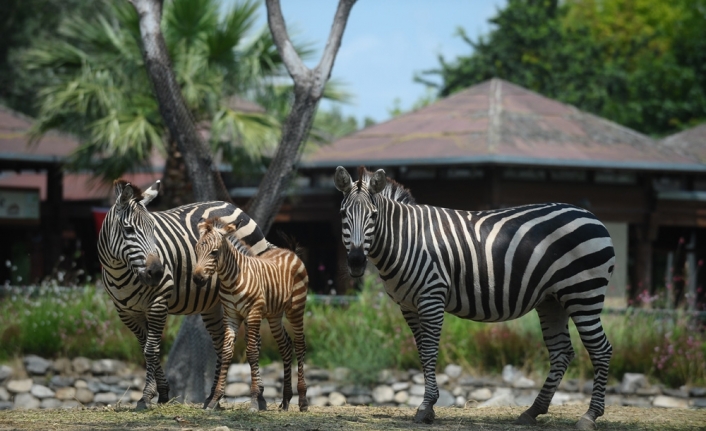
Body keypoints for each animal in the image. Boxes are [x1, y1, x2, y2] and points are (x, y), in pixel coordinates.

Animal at [99, 180, 272, 412]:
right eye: (128, 229)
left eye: (154, 229)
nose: (157, 272)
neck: (120, 270)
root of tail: (228, 204)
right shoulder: (126, 312)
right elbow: (145, 349)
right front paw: (163, 393)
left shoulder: (158, 302)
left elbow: (151, 350)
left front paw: (146, 397)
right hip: (213, 304)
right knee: (221, 343)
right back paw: (212, 398)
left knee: (255, 341)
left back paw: (259, 397)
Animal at [191, 218, 306, 414]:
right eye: (197, 249)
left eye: (214, 252)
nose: (197, 279)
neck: (232, 280)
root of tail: (289, 251)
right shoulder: (231, 315)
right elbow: (226, 352)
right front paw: (214, 400)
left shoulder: (253, 313)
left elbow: (252, 353)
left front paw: (254, 401)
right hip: (274, 315)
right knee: (285, 346)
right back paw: (285, 400)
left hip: (296, 308)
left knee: (299, 344)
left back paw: (303, 401)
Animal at [332, 167, 612, 430]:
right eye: (343, 214)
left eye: (373, 216)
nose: (356, 262)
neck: (404, 239)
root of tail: (591, 215)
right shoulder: (408, 306)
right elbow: (421, 352)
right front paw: (429, 406)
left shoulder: (431, 296)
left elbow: (430, 351)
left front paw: (426, 407)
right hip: (552, 301)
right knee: (562, 352)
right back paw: (532, 411)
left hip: (583, 294)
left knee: (601, 350)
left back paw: (589, 416)